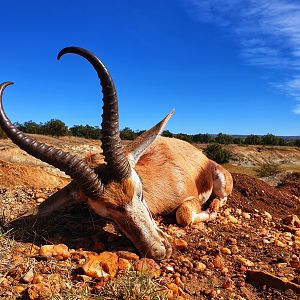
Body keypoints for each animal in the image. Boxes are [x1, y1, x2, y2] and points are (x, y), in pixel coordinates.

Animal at [0, 47, 233, 260]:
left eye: (140, 193)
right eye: (107, 214)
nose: (158, 251)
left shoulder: (190, 198)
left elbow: (183, 215)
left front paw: (207, 213)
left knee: (220, 199)